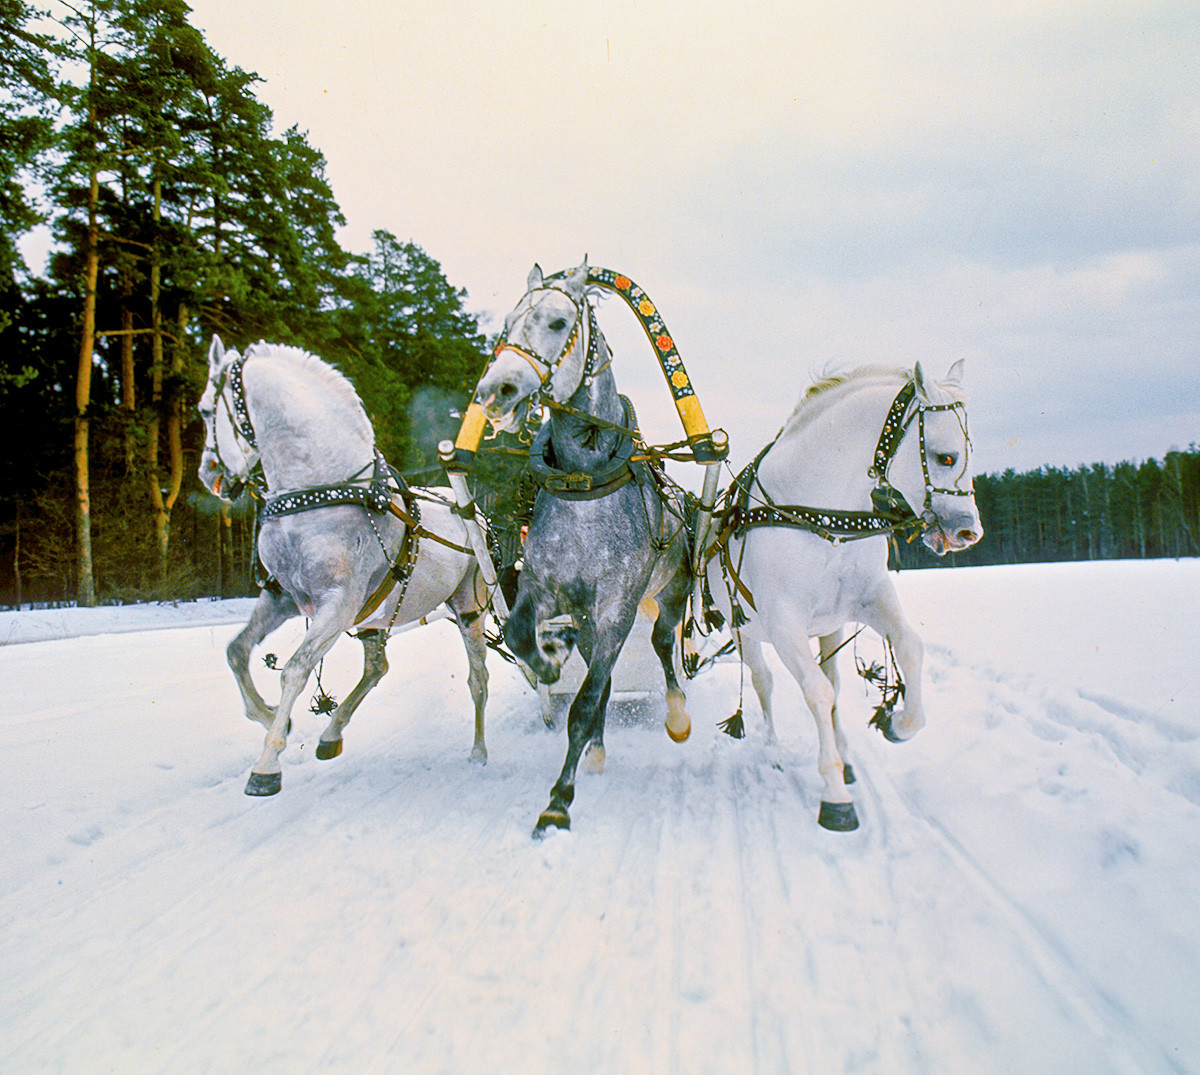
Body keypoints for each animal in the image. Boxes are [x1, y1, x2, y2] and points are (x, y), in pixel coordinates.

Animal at [199, 338, 489, 796]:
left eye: (204, 411)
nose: (207, 474)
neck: (320, 494)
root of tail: (472, 513)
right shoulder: (282, 596)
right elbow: (236, 650)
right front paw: (269, 716)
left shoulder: (338, 603)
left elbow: (295, 670)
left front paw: (267, 764)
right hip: (377, 616)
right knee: (376, 668)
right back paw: (331, 733)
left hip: (468, 606)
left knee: (478, 679)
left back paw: (479, 750)